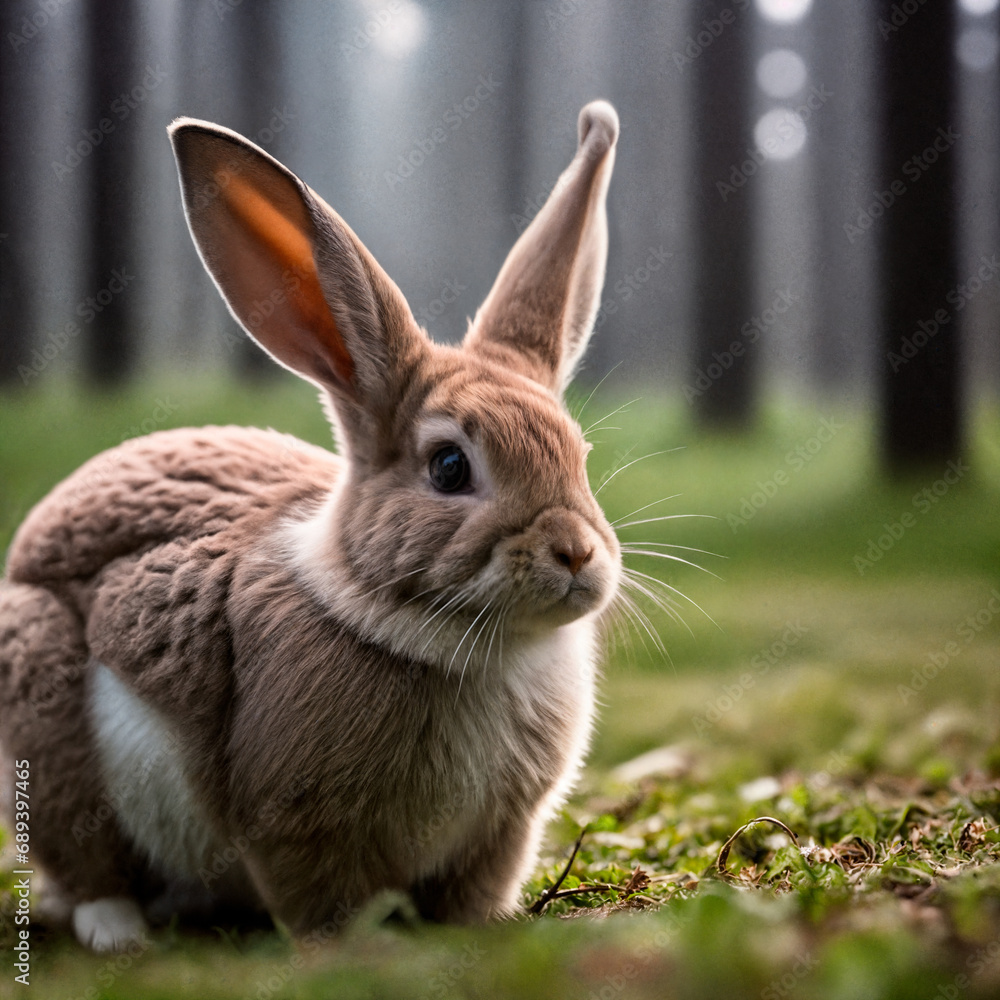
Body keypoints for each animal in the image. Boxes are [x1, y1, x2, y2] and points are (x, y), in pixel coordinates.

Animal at [0, 100, 622, 952]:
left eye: (579, 455)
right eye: (449, 468)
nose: (577, 553)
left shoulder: (502, 832)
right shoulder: (295, 826)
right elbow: (318, 896)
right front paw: (354, 947)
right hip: (45, 720)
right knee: (85, 862)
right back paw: (121, 931)